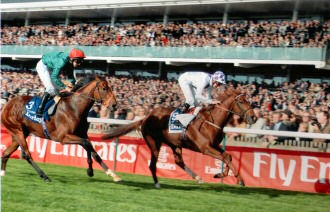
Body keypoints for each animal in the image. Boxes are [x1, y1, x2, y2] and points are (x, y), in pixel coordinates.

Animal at [102, 87, 256, 188]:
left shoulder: (214, 145)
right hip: (154, 142)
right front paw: (238, 180)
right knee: (153, 164)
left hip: (174, 143)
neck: (210, 121)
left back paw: (198, 178)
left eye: (249, 101)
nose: (253, 117)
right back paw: (157, 183)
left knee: (178, 161)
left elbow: (228, 156)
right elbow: (225, 157)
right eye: (242, 101)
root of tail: (146, 117)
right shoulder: (205, 148)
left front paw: (222, 175)